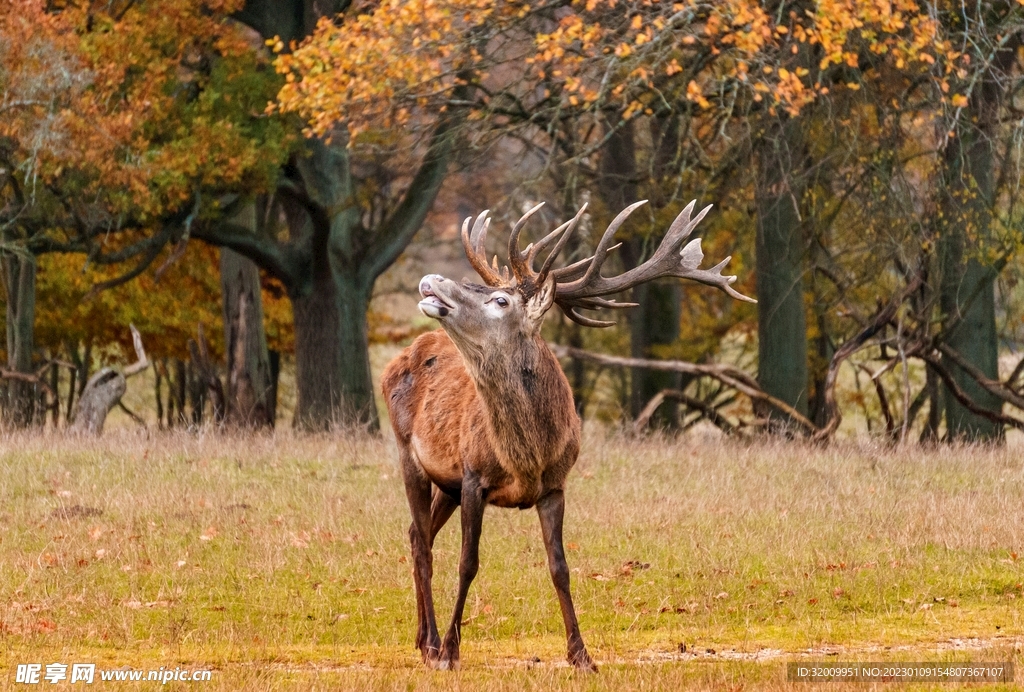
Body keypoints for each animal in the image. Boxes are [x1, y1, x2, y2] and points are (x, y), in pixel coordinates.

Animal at [381, 199, 755, 671]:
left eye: (500, 299)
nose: (432, 279)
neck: (528, 456)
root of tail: (399, 358)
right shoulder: (472, 476)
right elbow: (468, 562)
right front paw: (450, 651)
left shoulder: (554, 485)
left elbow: (560, 566)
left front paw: (582, 655)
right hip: (406, 452)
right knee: (422, 543)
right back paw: (430, 644)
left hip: (443, 482)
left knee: (419, 534)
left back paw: (420, 640)